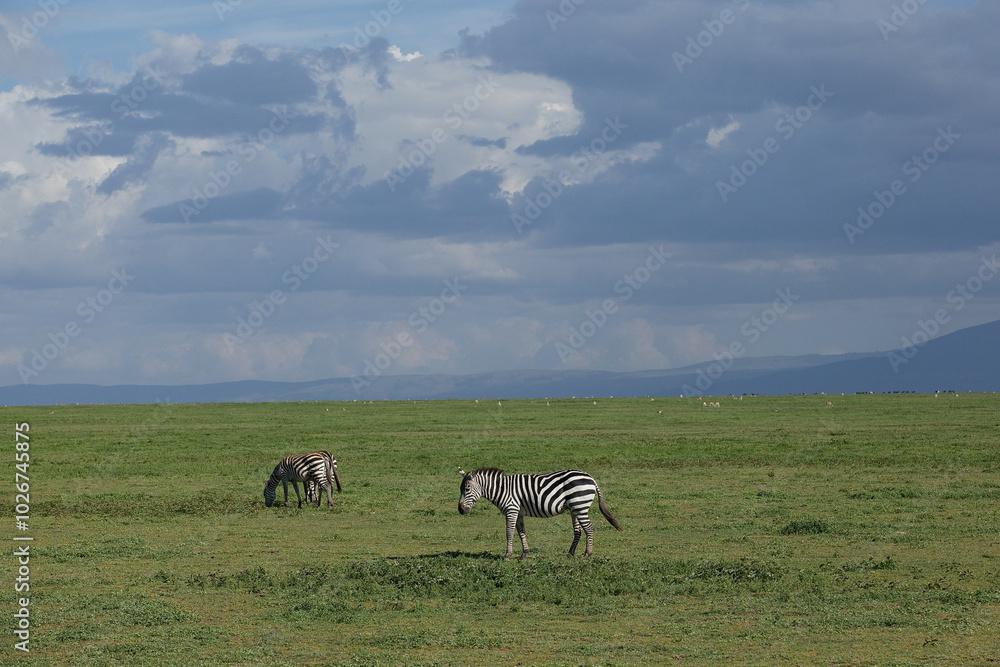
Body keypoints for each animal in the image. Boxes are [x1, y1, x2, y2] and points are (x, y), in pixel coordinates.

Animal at [457, 467, 622, 560]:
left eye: (467, 489)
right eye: (460, 489)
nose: (461, 510)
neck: (502, 489)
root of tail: (591, 477)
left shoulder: (511, 510)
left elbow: (509, 532)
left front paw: (507, 555)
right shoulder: (519, 512)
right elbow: (521, 532)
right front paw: (524, 554)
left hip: (580, 505)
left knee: (589, 528)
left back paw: (587, 554)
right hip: (575, 508)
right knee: (578, 531)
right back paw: (570, 553)